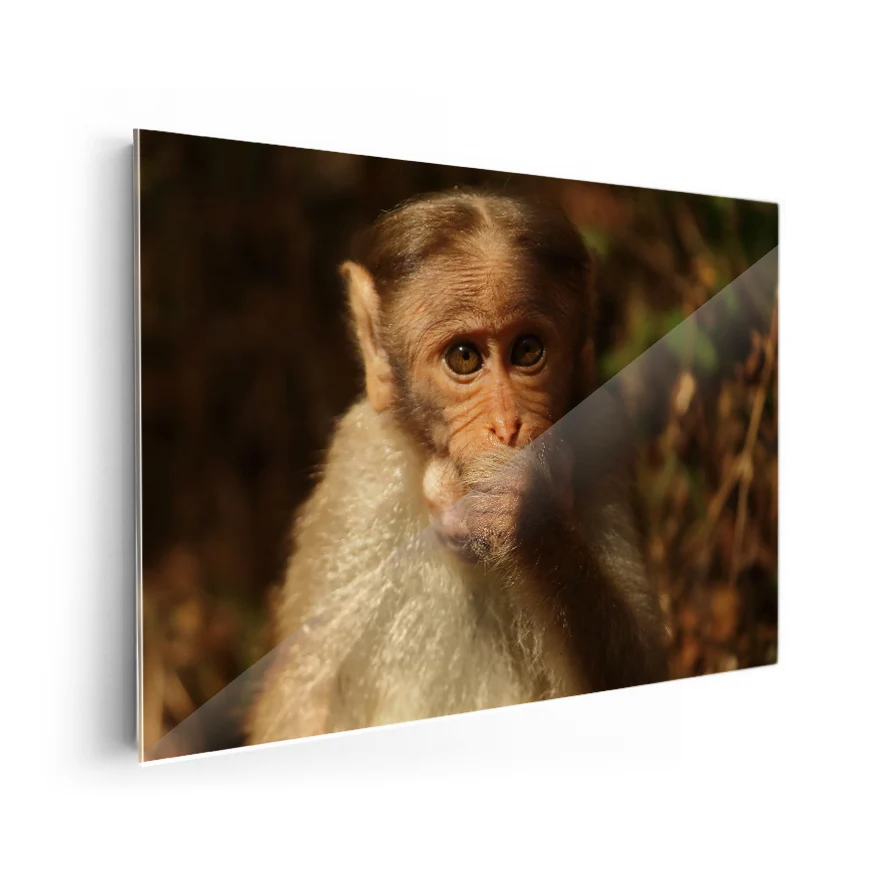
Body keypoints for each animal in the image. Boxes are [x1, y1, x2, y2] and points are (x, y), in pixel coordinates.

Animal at [247, 189, 669, 745]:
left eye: (528, 350)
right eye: (465, 358)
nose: (507, 427)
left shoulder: (602, 447)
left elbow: (641, 670)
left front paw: (521, 506)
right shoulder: (360, 472)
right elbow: (301, 705)